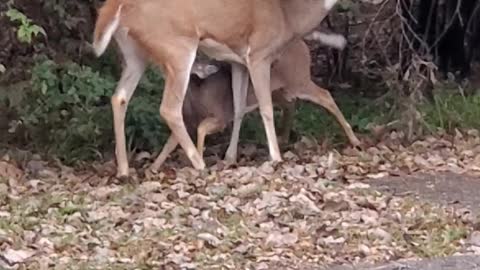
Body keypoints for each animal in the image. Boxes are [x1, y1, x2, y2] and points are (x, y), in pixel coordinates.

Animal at [94, 0, 354, 177]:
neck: (287, 16)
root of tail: (119, 6)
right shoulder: (258, 54)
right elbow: (266, 108)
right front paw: (276, 157)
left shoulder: (238, 61)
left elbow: (238, 108)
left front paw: (230, 157)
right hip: (177, 48)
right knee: (169, 108)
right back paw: (199, 164)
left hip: (135, 53)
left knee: (119, 97)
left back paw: (124, 170)